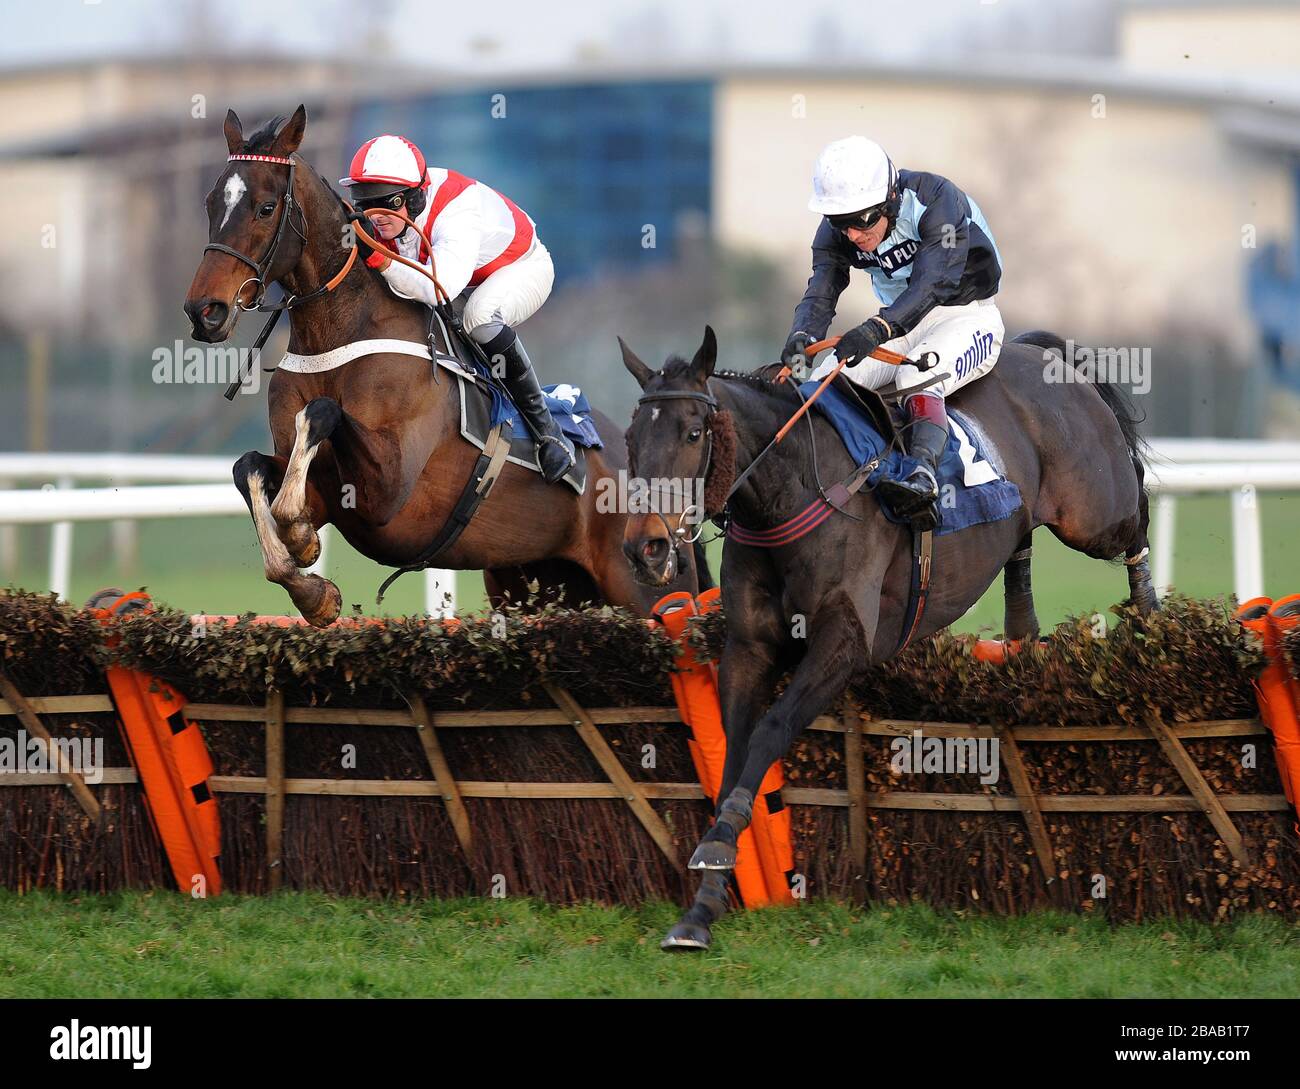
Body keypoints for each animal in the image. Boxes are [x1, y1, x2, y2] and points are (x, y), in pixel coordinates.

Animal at [185, 108, 702, 631]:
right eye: (210, 202)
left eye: (266, 207)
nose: (204, 310)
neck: (338, 334)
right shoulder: (327, 488)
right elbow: (247, 468)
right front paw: (312, 581)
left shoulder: (388, 491)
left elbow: (321, 411)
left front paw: (298, 536)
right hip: (533, 586)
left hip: (646, 586)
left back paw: (556, 452)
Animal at [621, 328, 1159, 951]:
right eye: (631, 439)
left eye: (692, 432)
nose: (645, 548)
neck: (793, 492)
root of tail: (1042, 354)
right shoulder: (748, 649)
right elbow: (733, 752)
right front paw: (702, 904)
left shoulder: (844, 644)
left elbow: (770, 731)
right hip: (1035, 520)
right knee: (1022, 548)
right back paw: (1025, 634)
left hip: (1093, 514)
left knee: (1138, 508)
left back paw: (1151, 620)